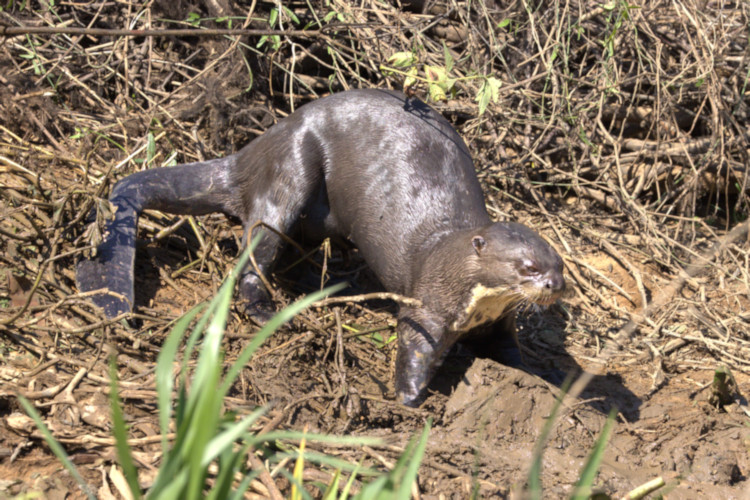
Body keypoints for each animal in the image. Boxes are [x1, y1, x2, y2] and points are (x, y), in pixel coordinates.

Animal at [76, 89, 565, 406]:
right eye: (526, 266)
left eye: (558, 265)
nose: (556, 286)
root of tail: (253, 151)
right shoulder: (427, 304)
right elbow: (413, 346)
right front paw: (409, 400)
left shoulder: (497, 320)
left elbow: (509, 350)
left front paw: (539, 376)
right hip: (290, 172)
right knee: (252, 256)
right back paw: (269, 312)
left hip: (318, 215)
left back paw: (319, 285)